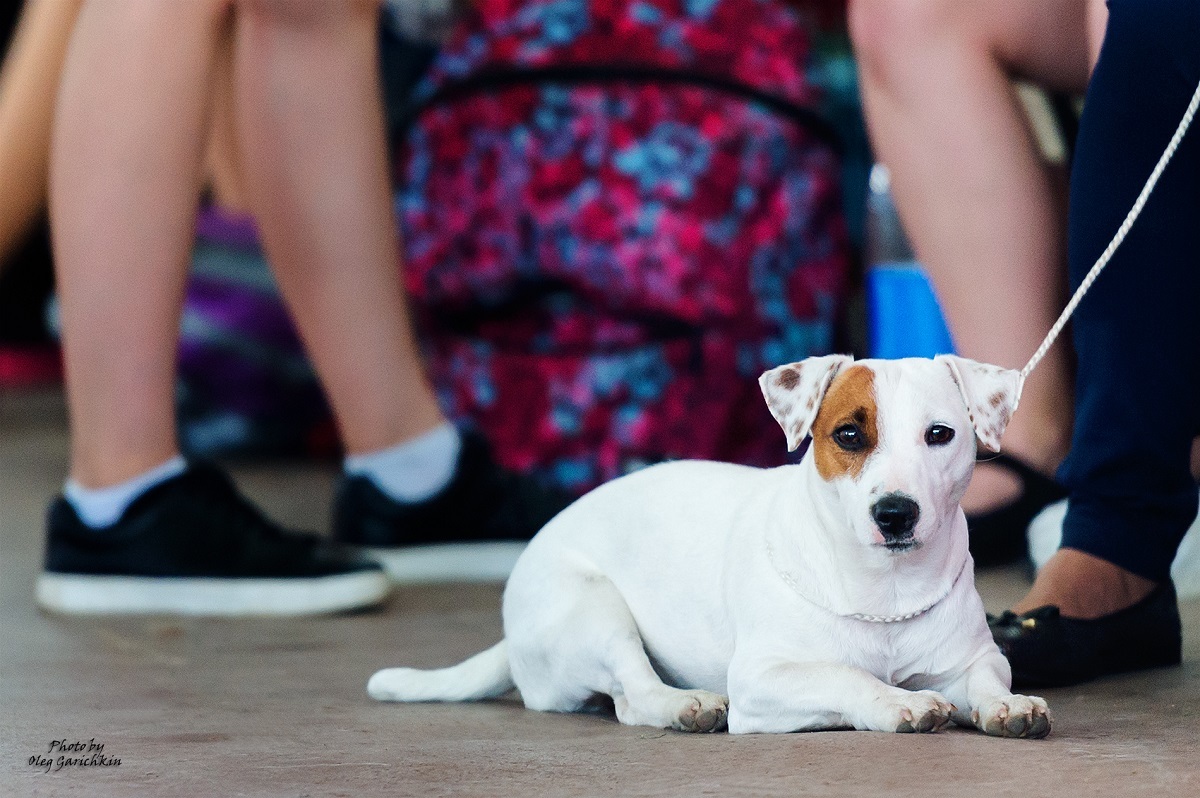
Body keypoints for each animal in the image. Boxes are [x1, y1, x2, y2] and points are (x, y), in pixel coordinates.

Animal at [372, 352, 1051, 739]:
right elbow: (844, 676)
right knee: (633, 695)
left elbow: (986, 683)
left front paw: (1007, 706)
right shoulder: (764, 678)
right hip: (594, 609)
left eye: (940, 434)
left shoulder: (972, 661)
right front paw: (895, 703)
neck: (885, 589)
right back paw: (685, 705)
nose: (895, 513)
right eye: (848, 434)